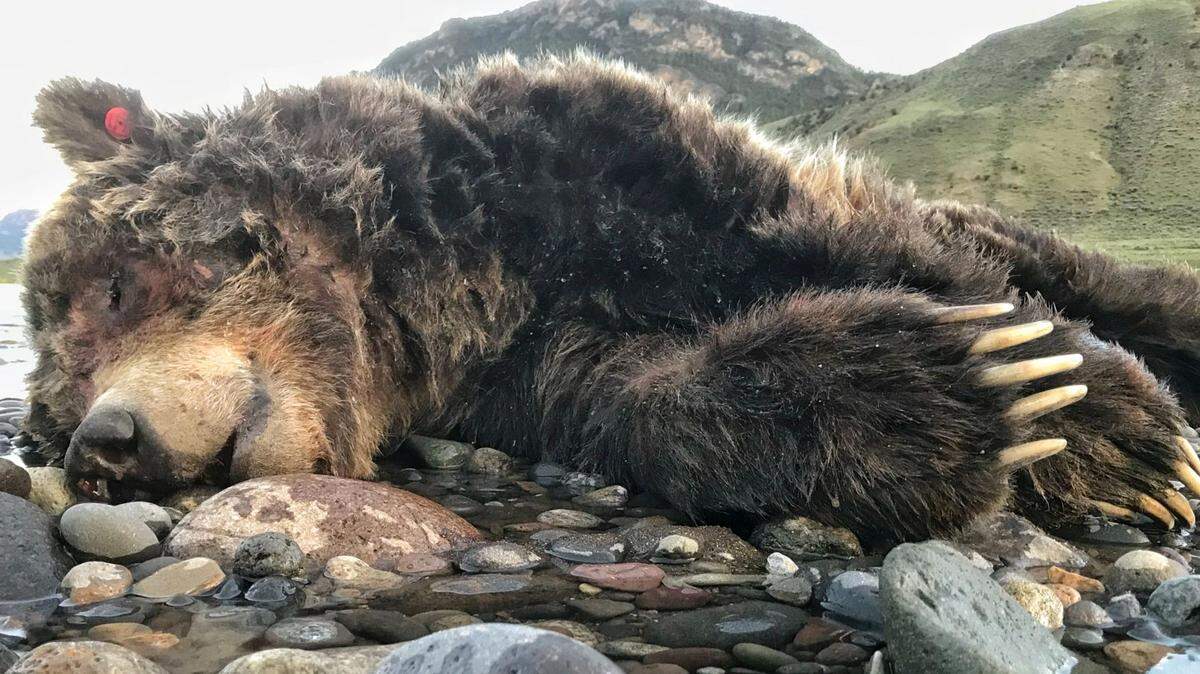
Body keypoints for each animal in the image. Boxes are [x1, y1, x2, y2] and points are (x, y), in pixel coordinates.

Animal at [21, 52, 1200, 545]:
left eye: (114, 286)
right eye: (54, 394)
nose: (106, 443)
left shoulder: (619, 159)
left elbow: (875, 244)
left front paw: (1102, 424)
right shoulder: (523, 368)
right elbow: (634, 398)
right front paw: (925, 390)